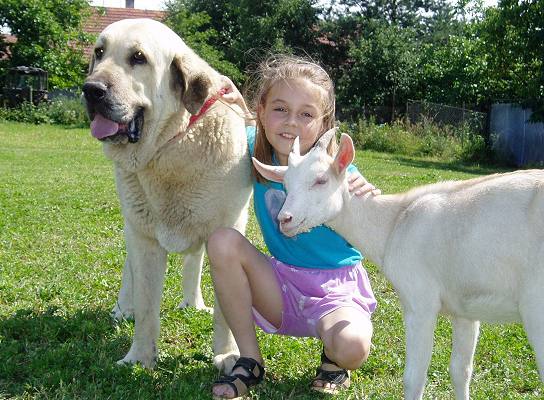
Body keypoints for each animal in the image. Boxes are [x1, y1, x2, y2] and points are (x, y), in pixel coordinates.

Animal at [82, 18, 252, 368]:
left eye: (138, 58)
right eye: (99, 52)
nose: (91, 89)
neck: (172, 145)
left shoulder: (227, 231)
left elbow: (226, 312)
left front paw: (227, 354)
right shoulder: (142, 236)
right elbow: (147, 305)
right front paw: (139, 359)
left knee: (194, 263)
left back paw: (193, 303)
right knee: (130, 272)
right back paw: (123, 309)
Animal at [254, 130, 544, 398]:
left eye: (321, 180)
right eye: (286, 185)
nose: (285, 220)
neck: (395, 222)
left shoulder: (420, 302)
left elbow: (414, 378)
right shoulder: (465, 309)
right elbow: (460, 371)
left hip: (535, 306)